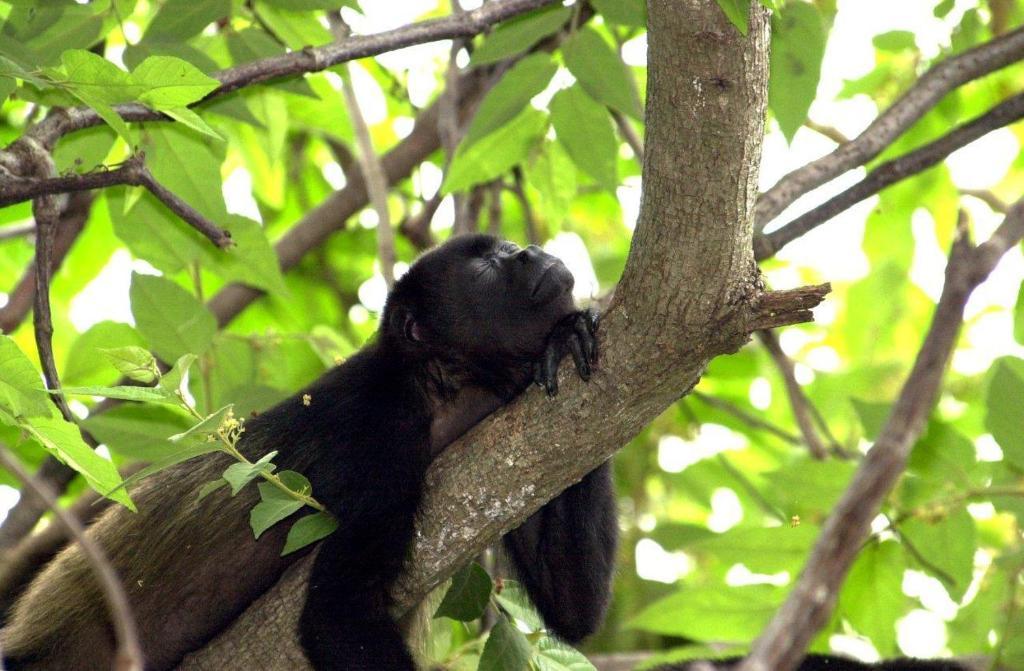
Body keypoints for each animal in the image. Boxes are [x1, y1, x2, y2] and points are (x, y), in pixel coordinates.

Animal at [2, 233, 614, 667]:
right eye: (488, 266)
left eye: (509, 247)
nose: (531, 252)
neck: (440, 385)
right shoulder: (379, 432)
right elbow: (335, 617)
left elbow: (574, 607)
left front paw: (567, 335)